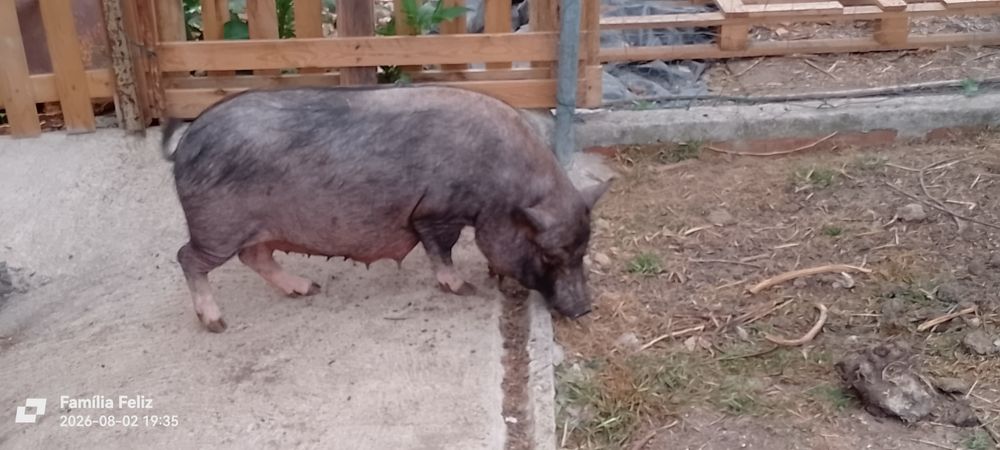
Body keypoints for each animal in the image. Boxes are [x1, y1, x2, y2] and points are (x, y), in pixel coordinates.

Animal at [161, 85, 608, 333]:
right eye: (549, 254)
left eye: (582, 251)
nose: (585, 309)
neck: (500, 186)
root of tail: (185, 142)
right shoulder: (435, 212)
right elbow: (441, 249)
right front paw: (464, 287)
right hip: (217, 226)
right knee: (187, 257)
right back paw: (217, 324)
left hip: (255, 230)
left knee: (254, 256)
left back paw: (307, 288)